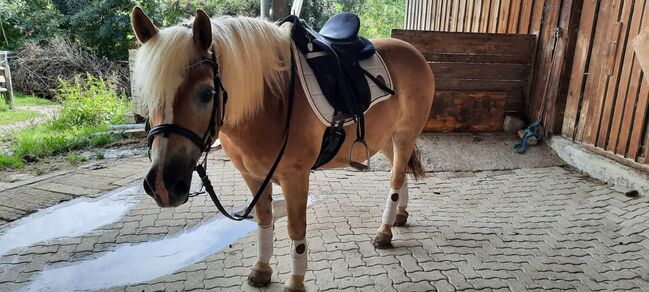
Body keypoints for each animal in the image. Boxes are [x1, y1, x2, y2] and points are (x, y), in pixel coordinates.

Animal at [130, 6, 436, 292]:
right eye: (148, 97)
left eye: (207, 93)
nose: (163, 186)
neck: (268, 103)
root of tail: (413, 51)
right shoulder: (252, 176)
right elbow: (264, 221)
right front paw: (261, 270)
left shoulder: (295, 178)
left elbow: (295, 229)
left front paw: (296, 282)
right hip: (385, 139)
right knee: (400, 173)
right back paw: (399, 217)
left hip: (404, 135)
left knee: (395, 178)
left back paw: (384, 232)